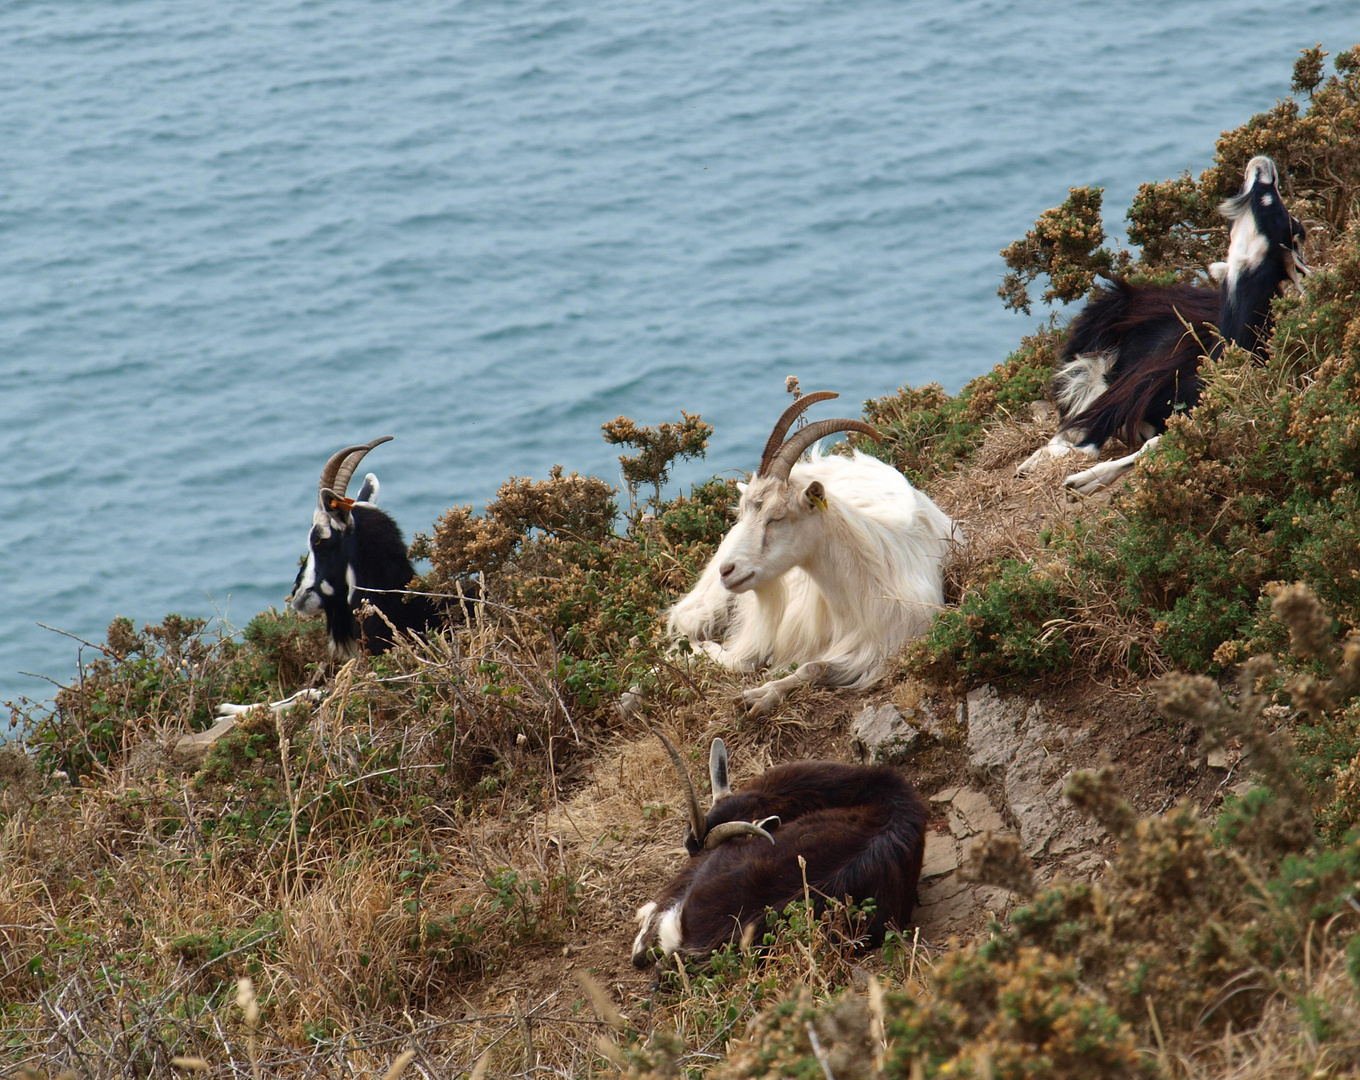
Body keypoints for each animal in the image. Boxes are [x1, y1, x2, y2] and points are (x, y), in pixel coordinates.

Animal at [663, 389, 952, 712]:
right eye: (744, 514)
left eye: (777, 517)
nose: (727, 571)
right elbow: (744, 660)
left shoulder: (880, 649)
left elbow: (814, 667)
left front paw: (762, 696)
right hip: (714, 599)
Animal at [1022, 155, 1305, 492]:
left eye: (1278, 209)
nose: (1263, 164)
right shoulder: (1127, 391)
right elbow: (1087, 439)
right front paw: (1062, 471)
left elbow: (1143, 445)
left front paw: (1082, 481)